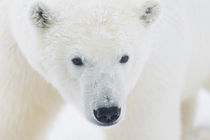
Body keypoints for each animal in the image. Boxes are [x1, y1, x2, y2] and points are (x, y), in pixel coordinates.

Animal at [1, 0, 210, 139]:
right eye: (77, 60)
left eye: (124, 57)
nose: (107, 111)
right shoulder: (19, 62)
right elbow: (16, 117)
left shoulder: (148, 71)